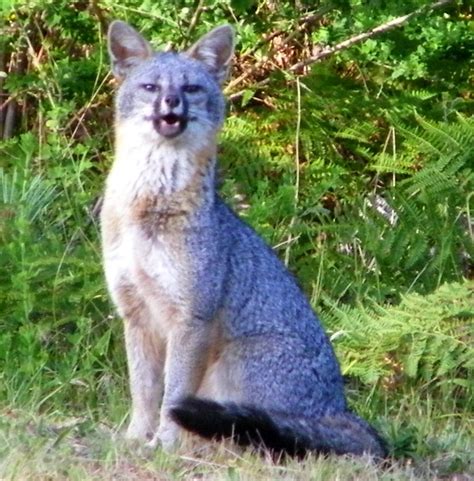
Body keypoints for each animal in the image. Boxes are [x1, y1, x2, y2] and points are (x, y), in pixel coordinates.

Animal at [102, 19, 386, 458]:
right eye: (151, 87)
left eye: (191, 88)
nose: (171, 103)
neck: (151, 208)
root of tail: (338, 409)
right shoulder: (136, 314)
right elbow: (144, 393)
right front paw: (136, 439)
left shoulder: (192, 319)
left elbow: (171, 398)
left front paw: (164, 445)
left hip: (233, 363)